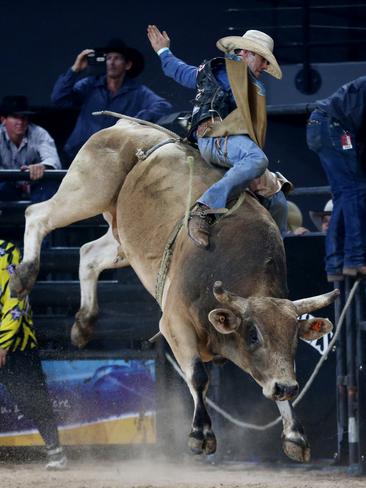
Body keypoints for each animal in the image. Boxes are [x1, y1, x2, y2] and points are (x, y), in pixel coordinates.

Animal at [10, 113, 338, 462]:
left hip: (122, 237)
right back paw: (22, 278)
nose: (286, 387)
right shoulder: (174, 323)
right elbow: (197, 376)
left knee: (88, 254)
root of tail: (126, 127)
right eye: (253, 335)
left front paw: (295, 435)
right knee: (37, 215)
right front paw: (200, 434)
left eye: (293, 338)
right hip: (85, 191)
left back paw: (83, 325)